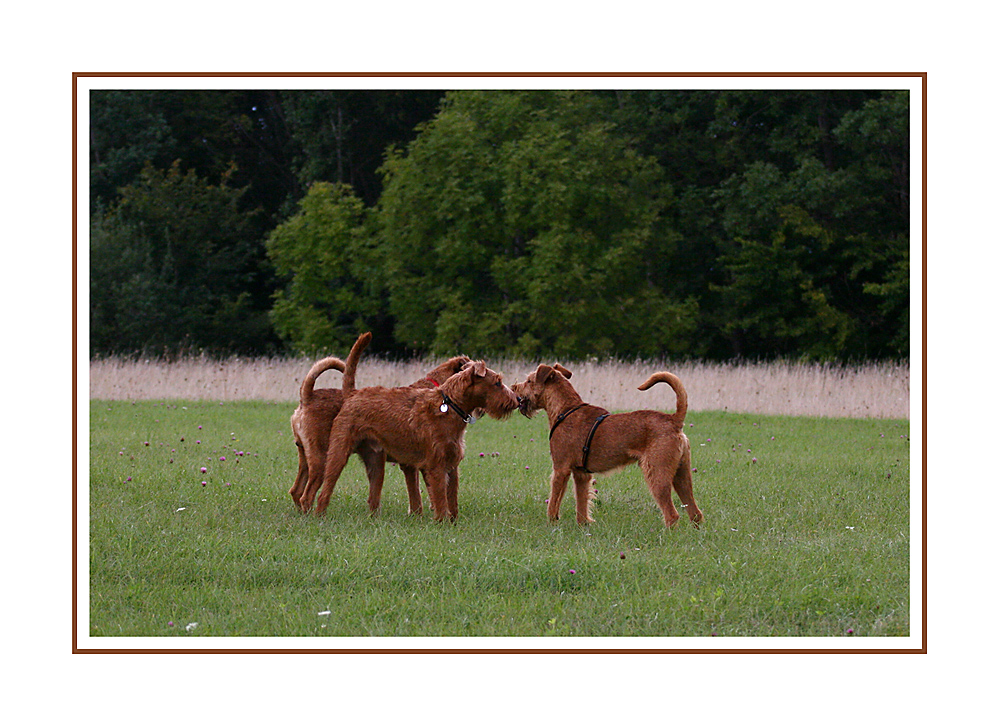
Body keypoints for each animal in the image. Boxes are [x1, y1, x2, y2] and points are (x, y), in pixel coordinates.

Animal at [292, 332, 474, 516]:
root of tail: (307, 398)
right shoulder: (421, 464)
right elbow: (427, 491)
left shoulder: (411, 465)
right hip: (324, 458)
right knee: (308, 495)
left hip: (310, 458)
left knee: (296, 491)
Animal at [308, 364, 520, 524]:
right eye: (497, 382)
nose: (518, 399)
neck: (450, 406)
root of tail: (353, 394)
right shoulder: (436, 466)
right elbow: (440, 497)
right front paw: (442, 522)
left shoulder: (452, 466)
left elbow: (452, 498)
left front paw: (453, 521)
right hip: (338, 453)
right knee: (324, 490)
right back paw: (320, 516)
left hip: (375, 461)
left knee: (372, 497)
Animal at [512, 364, 700, 528]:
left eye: (529, 381)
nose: (513, 387)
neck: (565, 409)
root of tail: (674, 420)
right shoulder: (581, 474)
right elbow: (581, 504)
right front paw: (583, 526)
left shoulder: (560, 469)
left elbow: (553, 503)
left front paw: (551, 525)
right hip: (682, 474)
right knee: (695, 512)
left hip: (657, 473)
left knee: (672, 514)